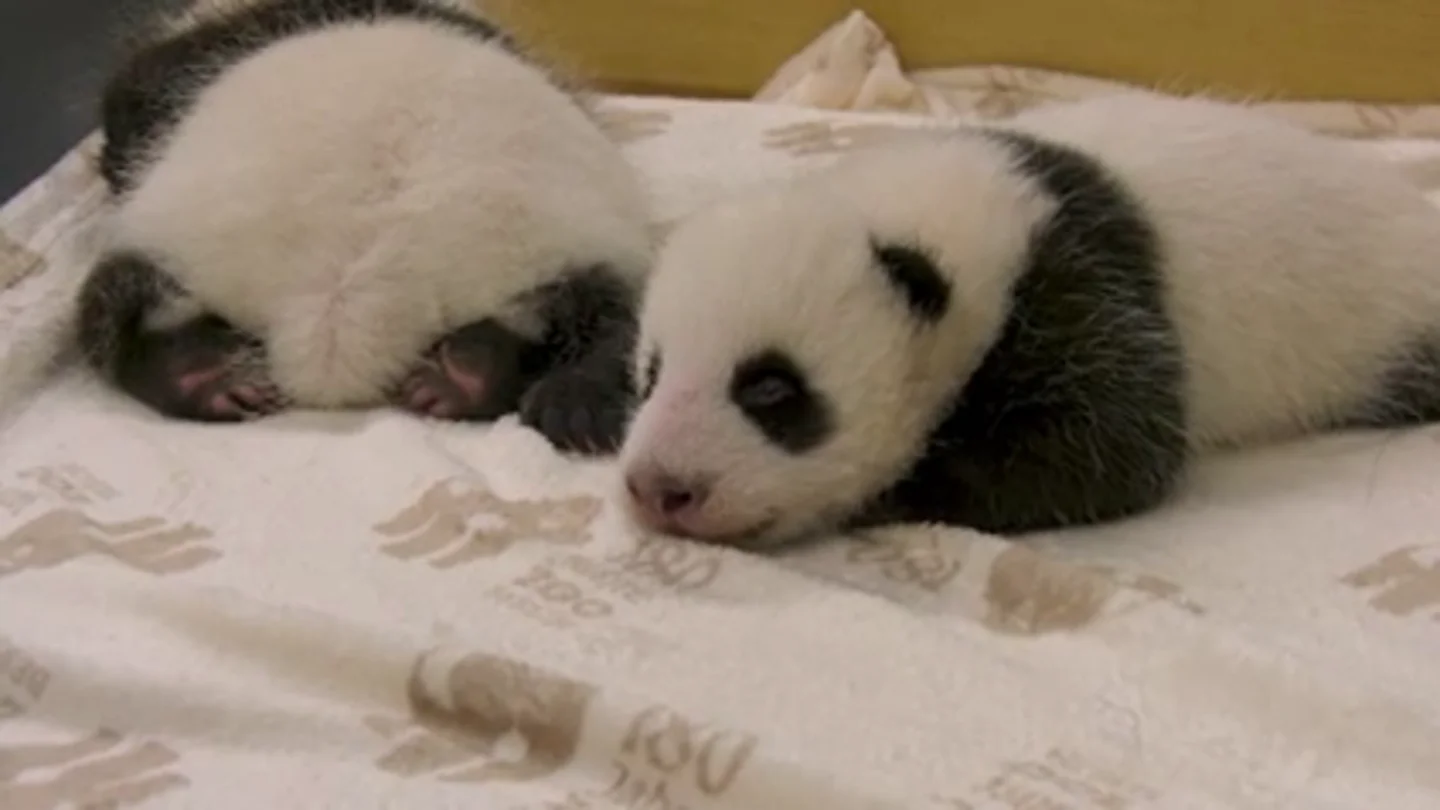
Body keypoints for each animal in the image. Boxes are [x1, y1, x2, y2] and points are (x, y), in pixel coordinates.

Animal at [616, 93, 1440, 548]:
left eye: (770, 389)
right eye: (650, 374)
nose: (660, 489)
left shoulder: (1075, 277)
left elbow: (1119, 447)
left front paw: (897, 491)